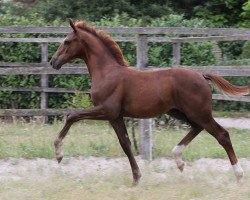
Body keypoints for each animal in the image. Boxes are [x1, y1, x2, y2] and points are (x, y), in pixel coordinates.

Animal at [49, 19, 249, 185]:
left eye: (67, 41)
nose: (53, 62)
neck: (107, 73)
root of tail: (202, 75)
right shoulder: (116, 116)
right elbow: (125, 143)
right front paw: (136, 178)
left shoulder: (107, 110)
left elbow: (72, 116)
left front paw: (58, 154)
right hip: (180, 112)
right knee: (197, 128)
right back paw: (179, 160)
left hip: (198, 112)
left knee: (222, 134)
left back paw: (239, 176)